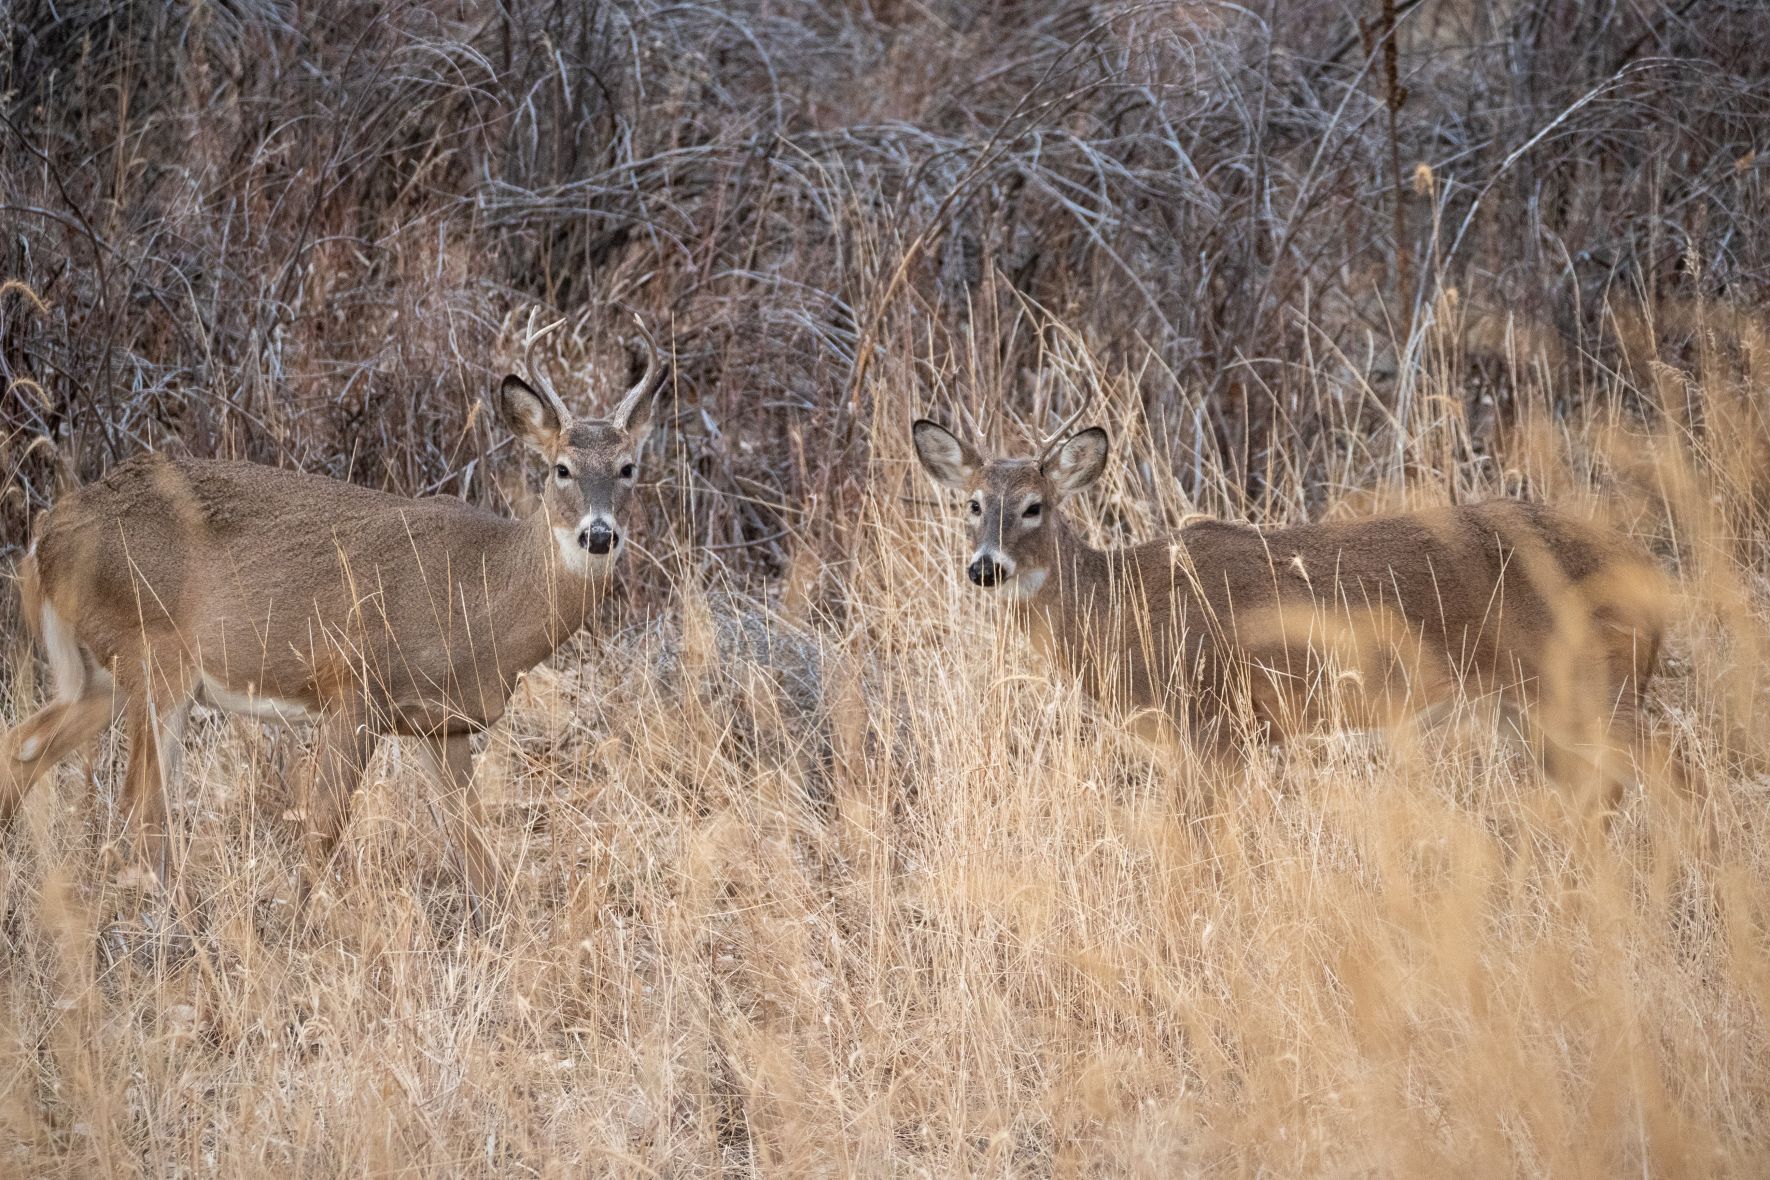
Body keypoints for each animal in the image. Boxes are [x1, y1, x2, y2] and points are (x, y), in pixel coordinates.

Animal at [1, 316, 665, 919]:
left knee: (25, 746)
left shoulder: (441, 725)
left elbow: (478, 854)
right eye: (561, 469)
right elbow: (322, 830)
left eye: (629, 467)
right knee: (139, 806)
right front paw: (295, 928)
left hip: (104, 674)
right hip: (155, 655)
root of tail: (45, 538)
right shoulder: (355, 688)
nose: (598, 535)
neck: (482, 595)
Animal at [920, 408, 1677, 813]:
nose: (985, 567)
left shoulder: (1218, 723)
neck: (1124, 606)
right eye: (972, 504)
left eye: (1033, 507)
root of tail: (1651, 577)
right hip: (1530, 710)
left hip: (1590, 684)